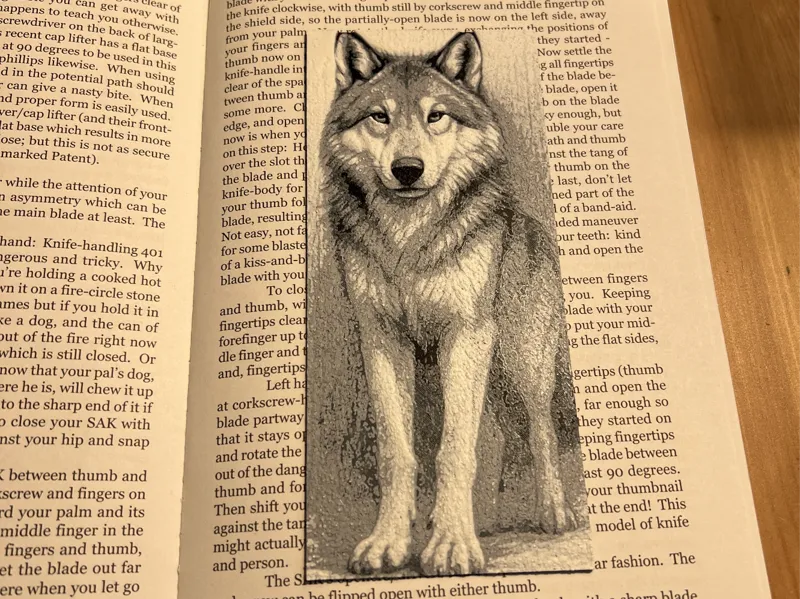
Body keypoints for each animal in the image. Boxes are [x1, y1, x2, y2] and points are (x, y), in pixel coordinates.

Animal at [320, 31, 577, 577]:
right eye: (380, 116)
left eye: (436, 115)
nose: (407, 169)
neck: (408, 237)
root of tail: (531, 223)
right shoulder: (381, 338)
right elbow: (398, 452)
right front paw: (390, 542)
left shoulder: (466, 334)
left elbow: (455, 449)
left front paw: (453, 547)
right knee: (498, 435)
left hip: (523, 362)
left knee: (540, 429)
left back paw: (551, 512)